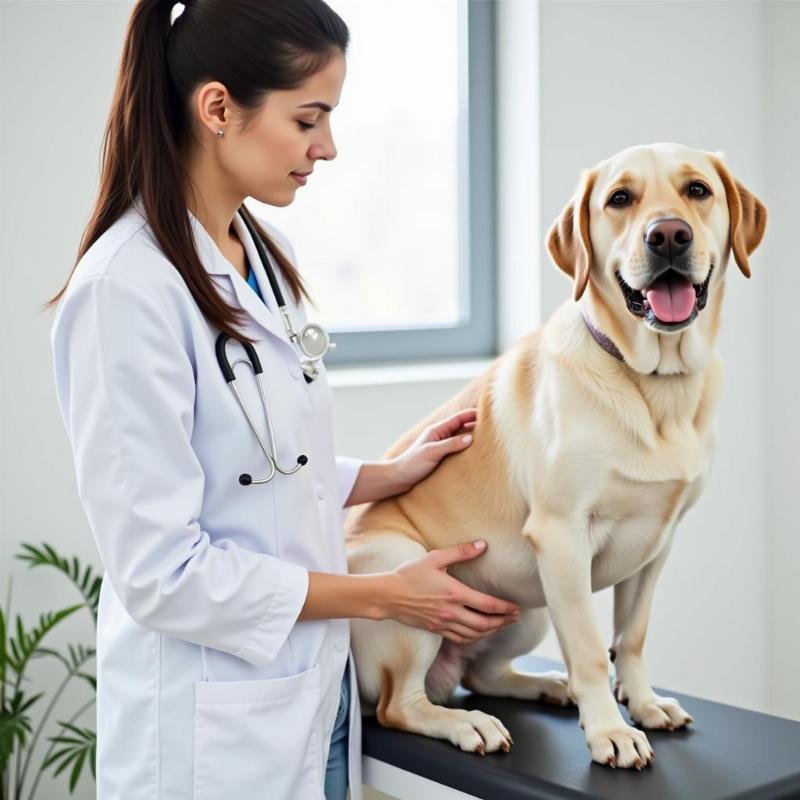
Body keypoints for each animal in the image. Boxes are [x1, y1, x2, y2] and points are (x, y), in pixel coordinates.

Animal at [342, 144, 764, 768]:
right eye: (620, 198)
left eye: (697, 190)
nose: (668, 236)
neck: (653, 384)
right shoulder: (562, 536)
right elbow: (589, 649)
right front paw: (611, 731)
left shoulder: (657, 544)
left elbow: (630, 638)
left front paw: (642, 705)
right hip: (407, 576)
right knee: (403, 706)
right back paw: (470, 724)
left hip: (528, 608)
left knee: (483, 674)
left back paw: (546, 687)